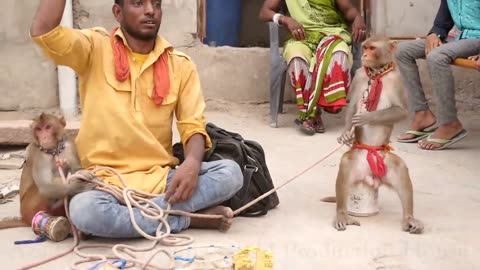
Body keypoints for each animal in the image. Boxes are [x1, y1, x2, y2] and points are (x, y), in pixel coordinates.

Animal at [332, 35, 422, 234]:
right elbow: (352, 105)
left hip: (384, 161)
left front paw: (367, 117)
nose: (364, 55)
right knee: (346, 163)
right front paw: (345, 134)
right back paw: (342, 214)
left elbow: (402, 111)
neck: (377, 74)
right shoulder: (360, 75)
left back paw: (409, 218)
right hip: (357, 161)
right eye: (365, 47)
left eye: (372, 48)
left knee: (400, 168)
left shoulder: (397, 79)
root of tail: (371, 177)